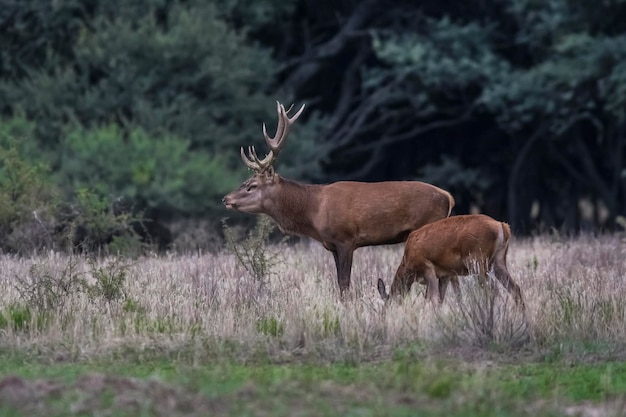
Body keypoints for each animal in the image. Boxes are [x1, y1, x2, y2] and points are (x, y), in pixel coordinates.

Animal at [222, 101, 450, 292]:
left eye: (252, 185)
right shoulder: (331, 245)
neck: (313, 210)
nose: (226, 199)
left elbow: (344, 282)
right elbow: (339, 281)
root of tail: (448, 197)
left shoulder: (346, 239)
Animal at [376, 213, 520, 308]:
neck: (408, 265)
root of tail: (502, 226)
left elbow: (432, 298)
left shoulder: (427, 266)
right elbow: (441, 298)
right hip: (498, 260)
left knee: (494, 290)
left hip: (477, 260)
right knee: (515, 288)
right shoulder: (446, 274)